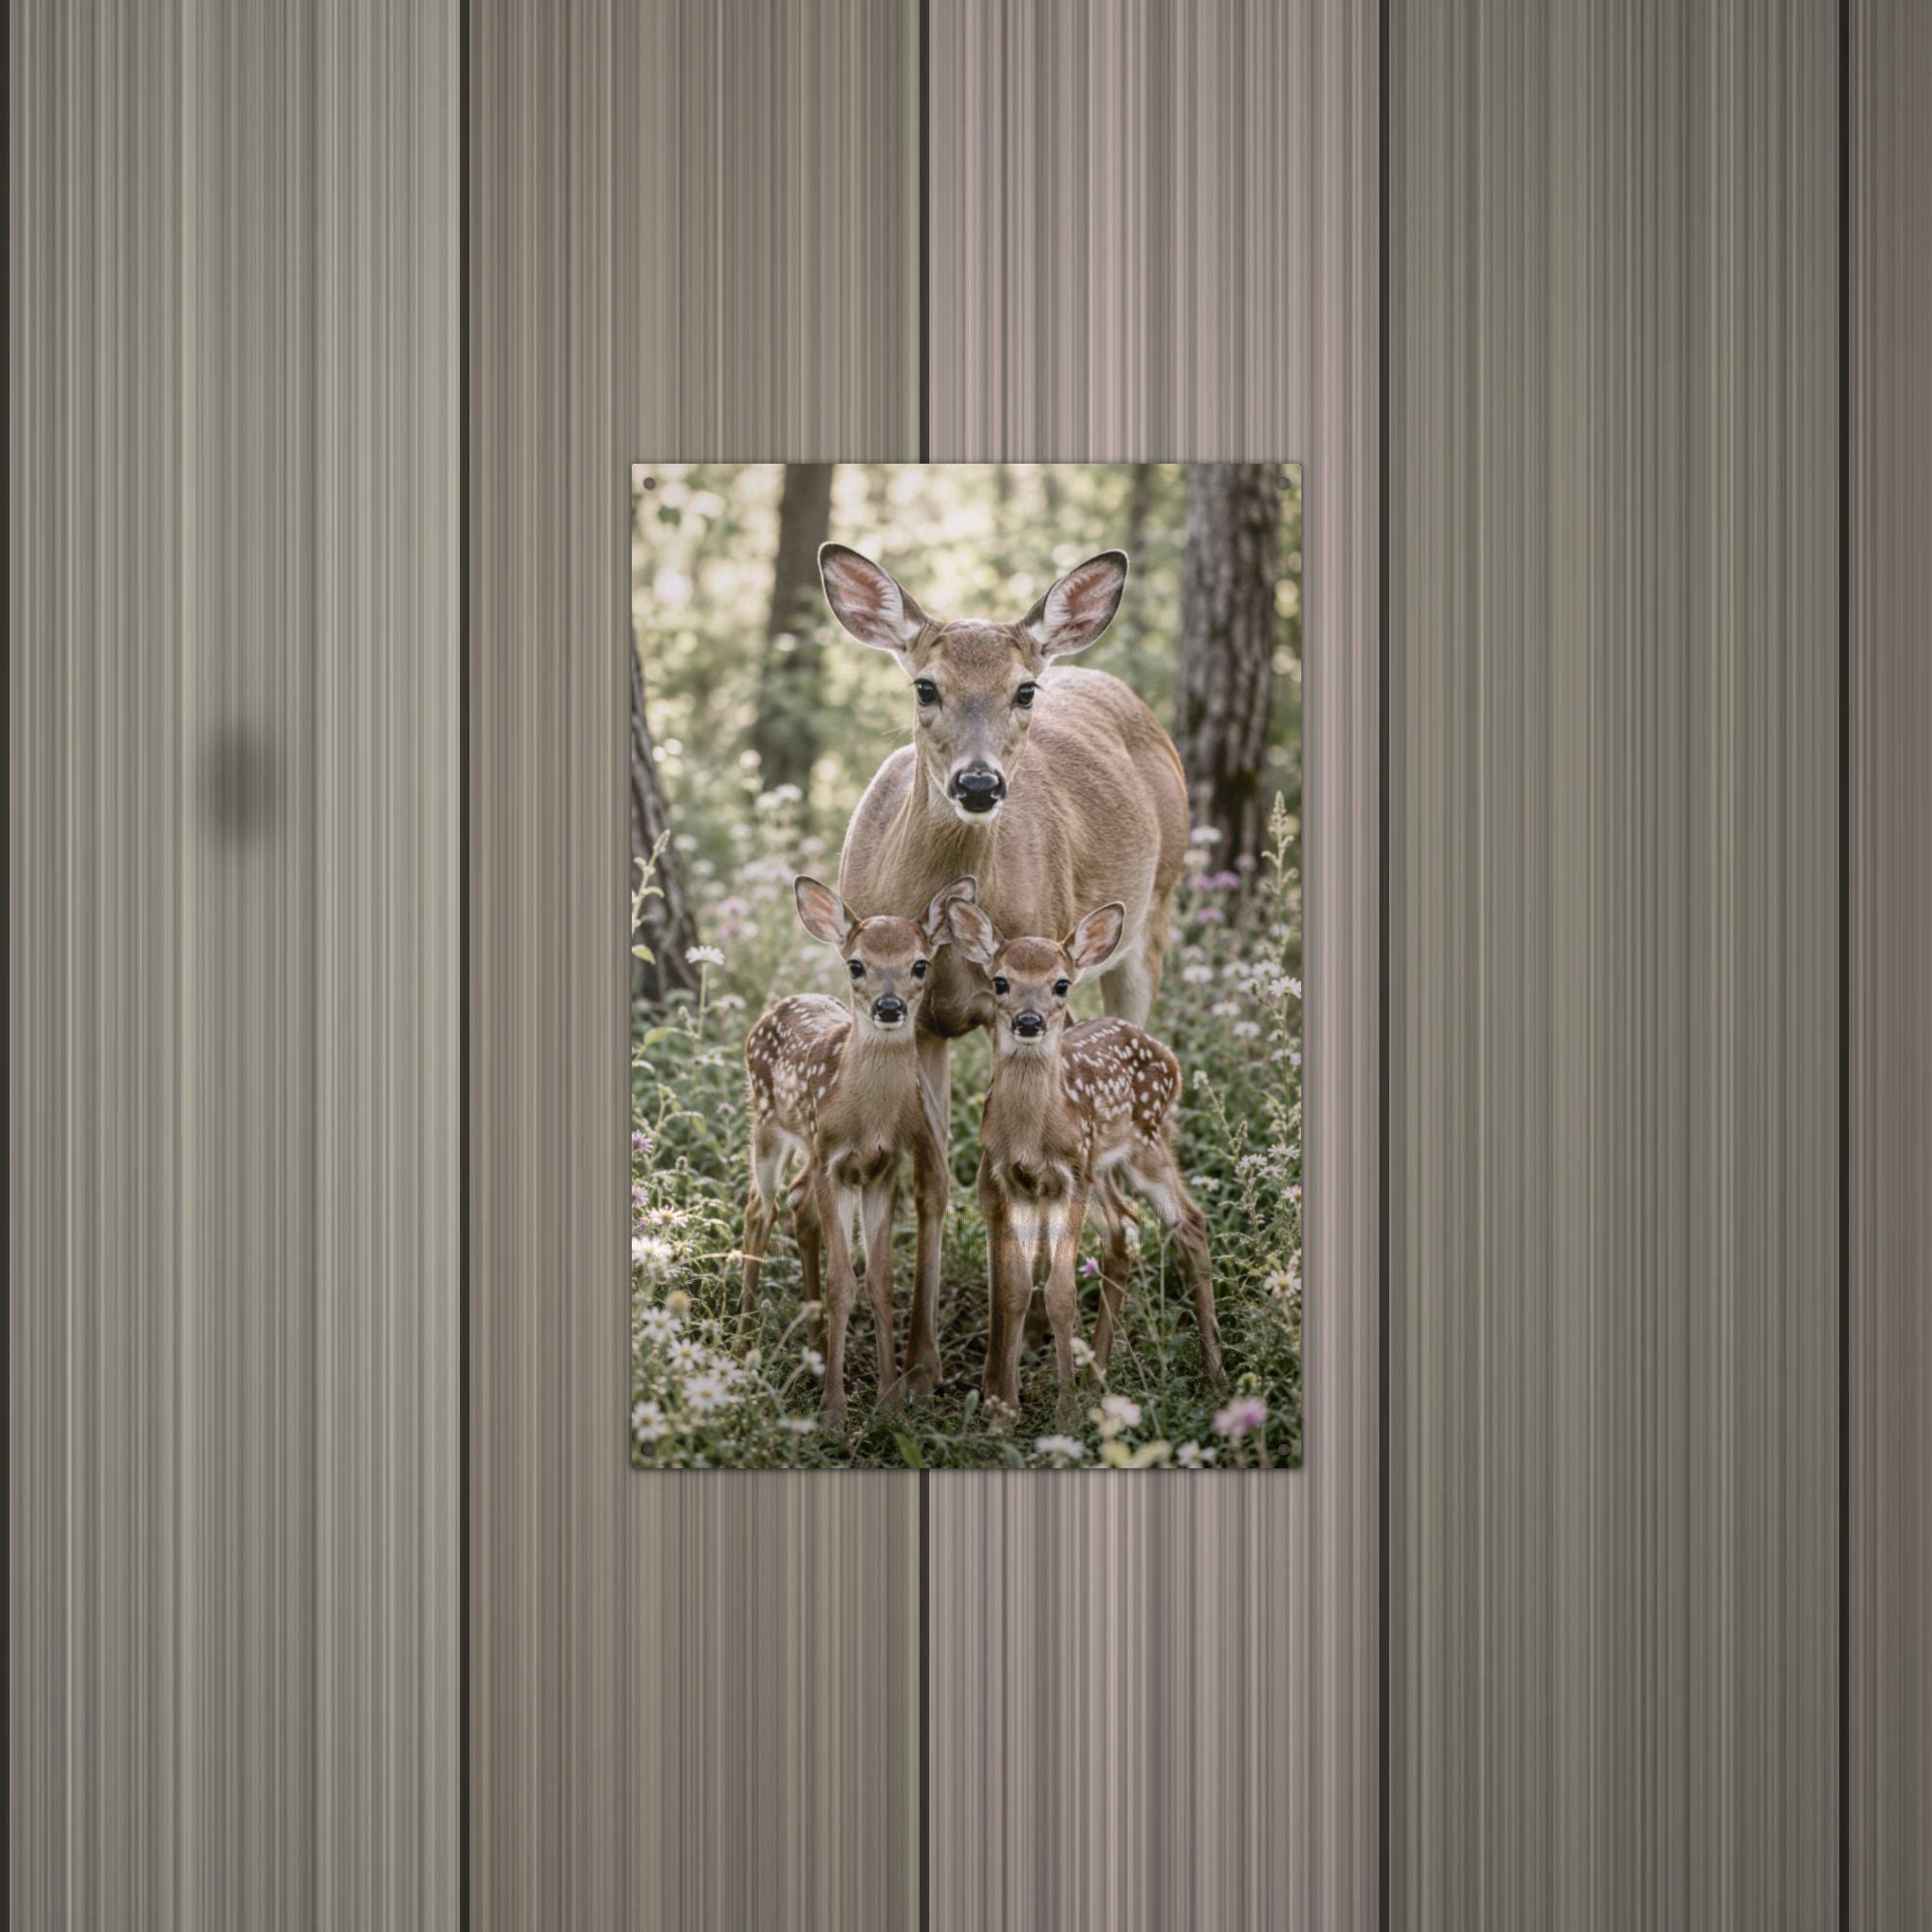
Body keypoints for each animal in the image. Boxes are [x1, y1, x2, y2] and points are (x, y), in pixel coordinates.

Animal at [740, 873, 974, 1427]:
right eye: (856, 964)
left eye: (920, 963)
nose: (888, 1008)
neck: (867, 1119)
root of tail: (778, 1005)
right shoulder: (834, 1163)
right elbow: (841, 1282)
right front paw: (833, 1411)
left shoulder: (882, 1168)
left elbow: (881, 1280)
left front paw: (889, 1402)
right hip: (768, 1125)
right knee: (760, 1208)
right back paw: (740, 1346)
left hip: (807, 1145)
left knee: (795, 1203)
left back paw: (812, 1349)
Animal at [819, 543, 1190, 1396]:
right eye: (925, 685)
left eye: (1023, 690)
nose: (980, 784)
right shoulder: (917, 1018)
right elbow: (933, 1182)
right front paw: (919, 1368)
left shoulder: (1007, 1005)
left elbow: (998, 1185)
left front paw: (996, 1371)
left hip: (1151, 917)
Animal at [945, 895, 1225, 1420]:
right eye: (1000, 981)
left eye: (1061, 983)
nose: (1028, 1021)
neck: (1032, 1133)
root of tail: (1169, 1056)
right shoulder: (1014, 1181)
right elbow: (1015, 1289)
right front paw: (1005, 1412)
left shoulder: (1068, 1178)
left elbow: (1060, 1292)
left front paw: (1065, 1411)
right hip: (1100, 1171)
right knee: (1124, 1228)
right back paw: (1098, 1376)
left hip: (1145, 1144)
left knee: (1189, 1222)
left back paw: (1214, 1375)